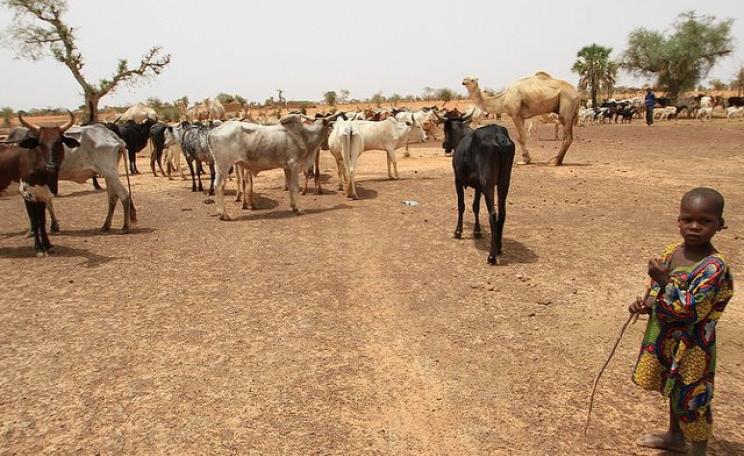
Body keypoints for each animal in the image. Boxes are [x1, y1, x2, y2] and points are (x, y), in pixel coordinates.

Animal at [0, 111, 78, 254]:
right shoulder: (28, 195)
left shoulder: (42, 194)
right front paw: (38, 248)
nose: (51, 167)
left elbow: (42, 220)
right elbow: (35, 220)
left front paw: (47, 245)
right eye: (41, 143)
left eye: (59, 142)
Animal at [208, 114, 341, 220]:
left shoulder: (287, 167)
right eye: (329, 127)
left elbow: (290, 187)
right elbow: (295, 187)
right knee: (219, 186)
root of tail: (213, 132)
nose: (326, 146)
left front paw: (294, 206)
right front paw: (299, 209)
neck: (304, 136)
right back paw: (224, 214)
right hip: (223, 166)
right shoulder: (294, 165)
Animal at [438, 111, 515, 265]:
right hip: (504, 182)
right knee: (502, 212)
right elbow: (475, 207)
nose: (444, 144)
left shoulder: (457, 180)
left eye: (445, 129)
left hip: (488, 183)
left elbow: (461, 205)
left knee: (493, 213)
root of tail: (500, 138)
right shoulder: (478, 187)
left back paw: (491, 256)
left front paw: (458, 231)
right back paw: (498, 247)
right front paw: (477, 231)